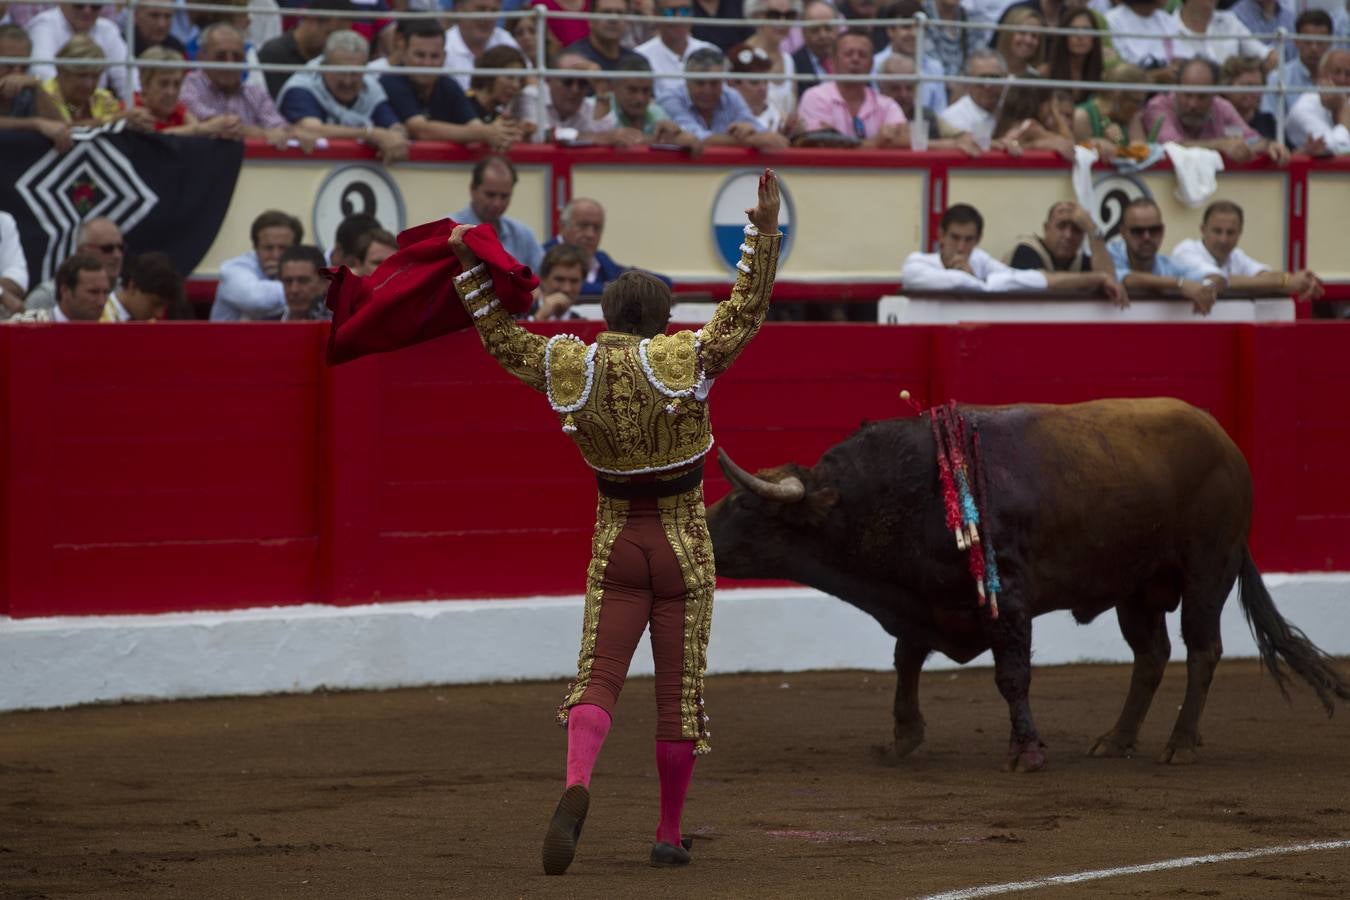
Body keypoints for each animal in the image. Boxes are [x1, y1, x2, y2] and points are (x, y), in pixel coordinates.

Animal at [707, 402, 1350, 777]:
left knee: (1202, 650)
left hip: (1206, 571)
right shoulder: (926, 602)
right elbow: (906, 660)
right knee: (1151, 655)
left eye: (743, 505)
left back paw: (1181, 743)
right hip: (1136, 587)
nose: (701, 533)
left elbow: (1011, 675)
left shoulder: (1008, 600)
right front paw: (903, 738)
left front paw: (1026, 752)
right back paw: (1116, 740)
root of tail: (1225, 442)